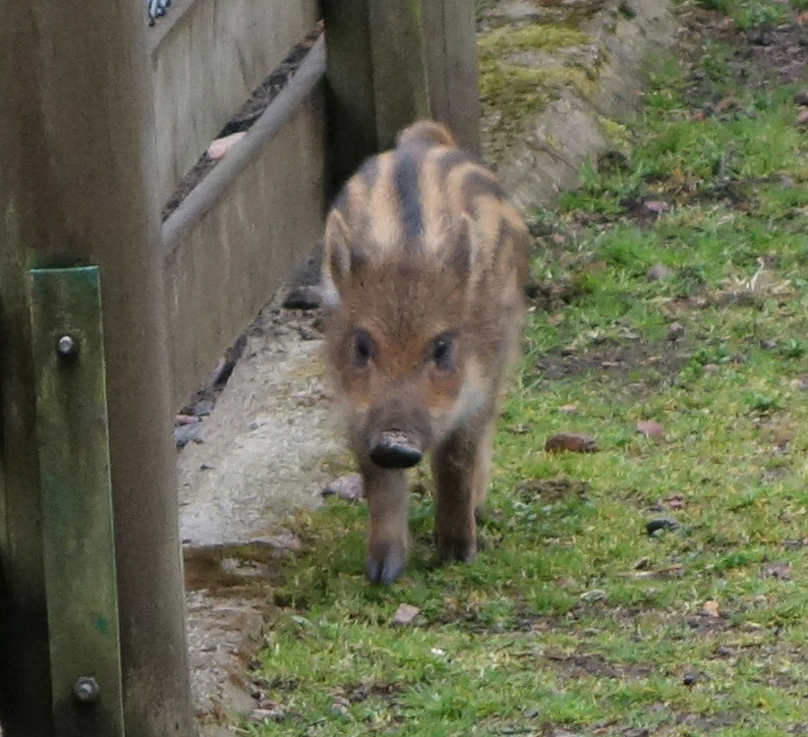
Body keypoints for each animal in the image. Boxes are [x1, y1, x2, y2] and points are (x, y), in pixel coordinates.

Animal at [322, 120, 528, 584]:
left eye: (442, 347)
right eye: (361, 345)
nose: (396, 442)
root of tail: (422, 141)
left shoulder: (478, 389)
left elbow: (455, 461)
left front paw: (457, 554)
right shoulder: (357, 410)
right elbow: (378, 481)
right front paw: (382, 572)